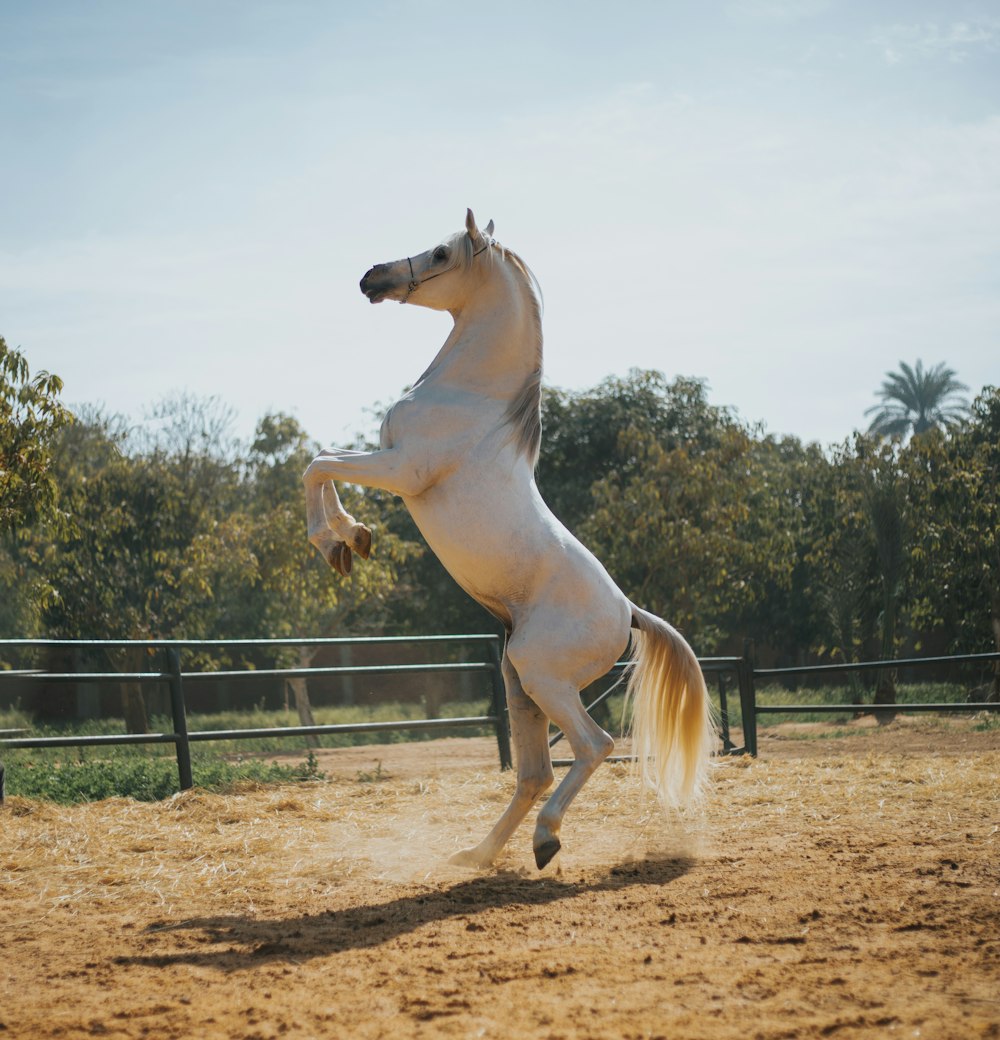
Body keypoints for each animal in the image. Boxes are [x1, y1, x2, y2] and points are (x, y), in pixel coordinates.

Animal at [299, 211, 715, 869]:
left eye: (441, 253)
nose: (372, 276)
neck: (470, 396)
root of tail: (627, 612)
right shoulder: (389, 462)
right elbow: (321, 461)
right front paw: (351, 541)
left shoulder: (402, 469)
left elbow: (317, 465)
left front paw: (340, 541)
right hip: (519, 683)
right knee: (534, 772)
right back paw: (479, 853)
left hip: (542, 675)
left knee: (593, 746)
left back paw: (546, 839)